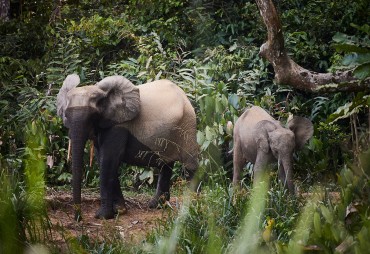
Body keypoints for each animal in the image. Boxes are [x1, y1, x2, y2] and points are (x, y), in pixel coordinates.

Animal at [56, 74, 198, 220]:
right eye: (66, 115)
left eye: (93, 116)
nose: (78, 218)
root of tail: (183, 95)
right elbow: (102, 160)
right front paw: (120, 211)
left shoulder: (119, 126)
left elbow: (108, 161)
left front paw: (103, 216)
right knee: (166, 165)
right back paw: (156, 205)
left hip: (188, 124)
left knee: (189, 165)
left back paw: (191, 206)